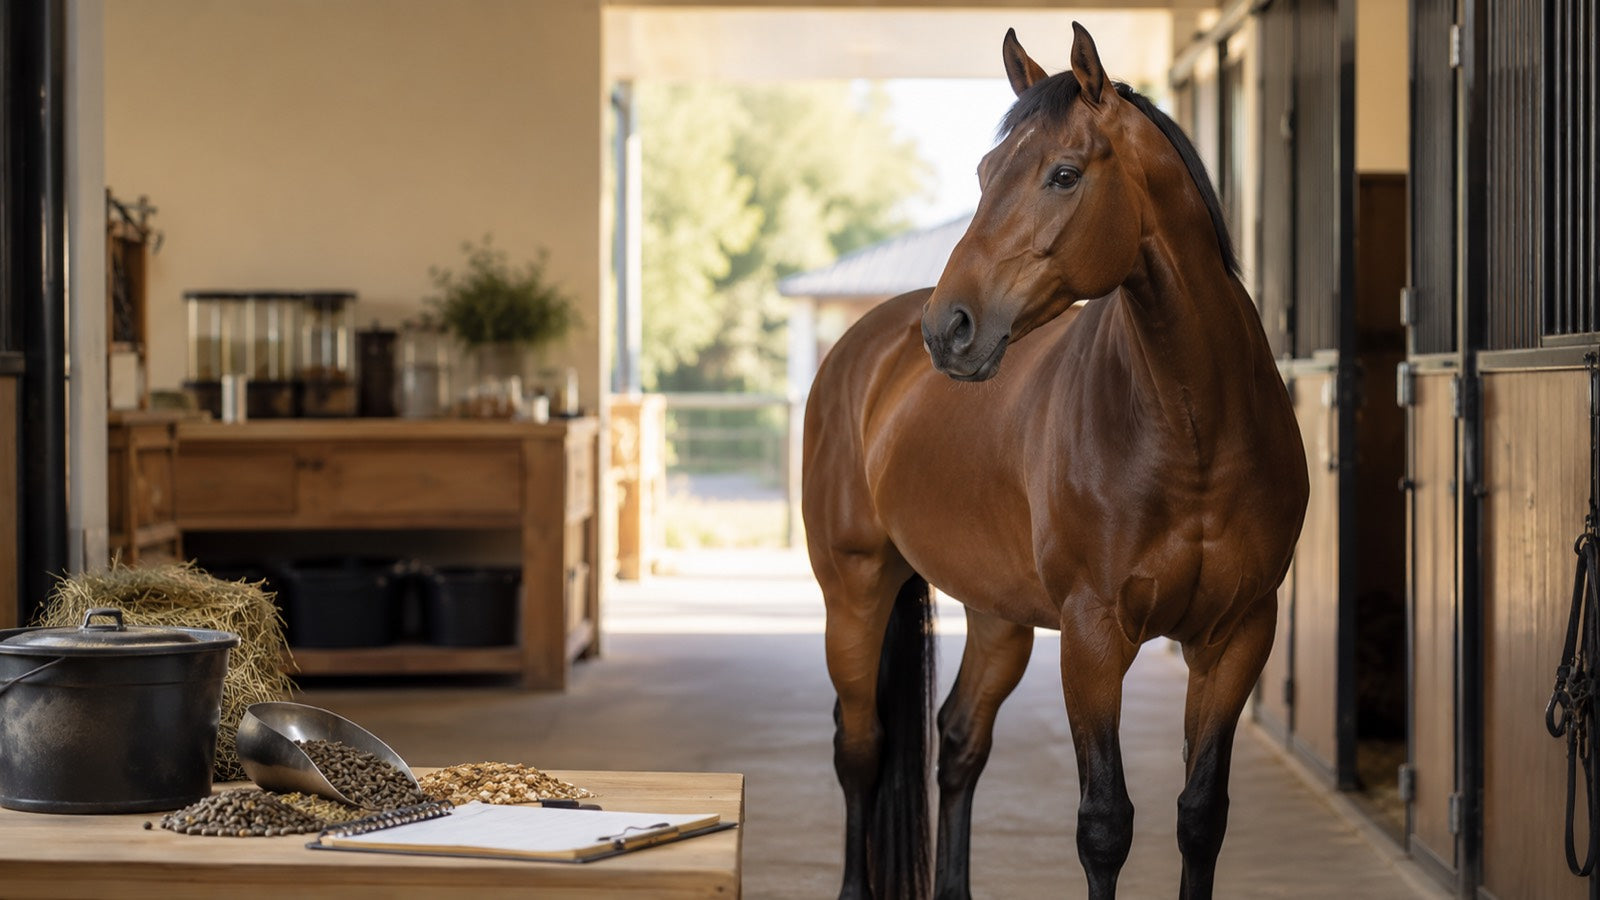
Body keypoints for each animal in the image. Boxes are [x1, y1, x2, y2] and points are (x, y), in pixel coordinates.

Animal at [801, 24, 1309, 900]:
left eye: (1063, 174)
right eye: (983, 174)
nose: (950, 328)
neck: (1195, 434)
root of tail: (861, 348)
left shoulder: (1239, 633)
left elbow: (1200, 815)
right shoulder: (1092, 636)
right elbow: (1104, 825)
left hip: (997, 614)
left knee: (958, 740)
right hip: (855, 590)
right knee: (860, 748)